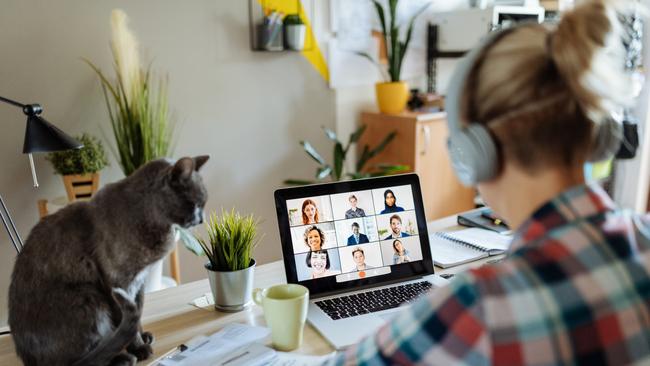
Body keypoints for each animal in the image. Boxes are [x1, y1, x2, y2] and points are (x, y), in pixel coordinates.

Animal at [8, 156, 209, 364]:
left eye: (203, 204)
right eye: (194, 204)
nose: (202, 219)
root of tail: (31, 360)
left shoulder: (139, 283)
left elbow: (138, 313)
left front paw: (142, 336)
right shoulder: (118, 282)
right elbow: (127, 316)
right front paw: (139, 348)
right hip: (88, 297)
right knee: (84, 359)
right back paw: (123, 358)